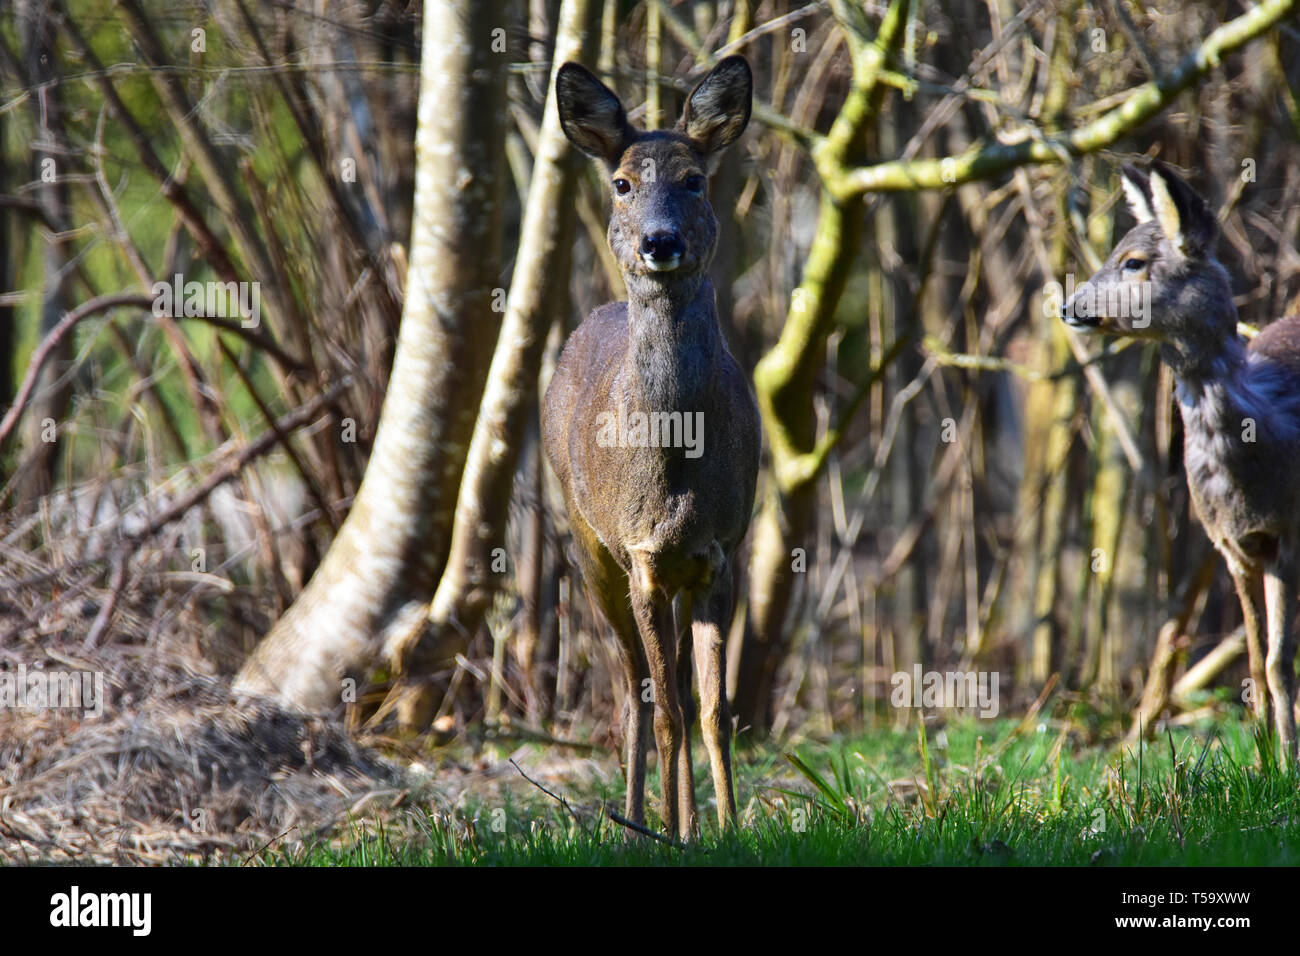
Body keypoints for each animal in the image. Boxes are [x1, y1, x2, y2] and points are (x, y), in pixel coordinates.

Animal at [542, 56, 760, 839]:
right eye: (621, 183)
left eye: (694, 179)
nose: (659, 241)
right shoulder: (639, 554)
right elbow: (666, 710)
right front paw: (671, 831)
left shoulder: (721, 550)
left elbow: (714, 710)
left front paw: (725, 829)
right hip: (586, 545)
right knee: (630, 685)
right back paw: (639, 818)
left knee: (668, 690)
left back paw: (681, 820)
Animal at [1063, 160, 1300, 766]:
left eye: (1134, 261)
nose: (1068, 306)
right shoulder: (1232, 545)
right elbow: (1257, 662)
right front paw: (1264, 762)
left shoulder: (1288, 536)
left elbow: (1278, 663)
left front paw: (1287, 762)